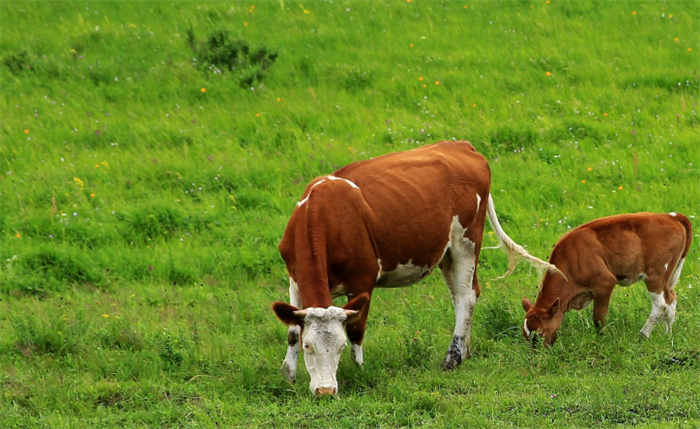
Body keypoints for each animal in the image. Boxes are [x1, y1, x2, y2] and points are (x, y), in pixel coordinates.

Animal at [270, 141, 560, 394]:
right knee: (464, 295)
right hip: (446, 253)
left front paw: (360, 371)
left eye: (340, 347)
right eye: (309, 346)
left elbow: (356, 329)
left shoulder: (362, 280)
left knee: (466, 296)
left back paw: (452, 359)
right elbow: (292, 330)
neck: (324, 215)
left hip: (466, 241)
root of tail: (462, 145)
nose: (325, 391)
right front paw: (289, 375)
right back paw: (465, 350)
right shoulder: (295, 280)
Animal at [524, 212, 692, 346]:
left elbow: (598, 317)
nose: (538, 354)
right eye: (525, 336)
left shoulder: (604, 283)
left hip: (655, 275)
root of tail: (671, 216)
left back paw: (644, 334)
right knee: (671, 299)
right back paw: (667, 335)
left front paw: (602, 339)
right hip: (666, 278)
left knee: (661, 305)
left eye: (539, 334)